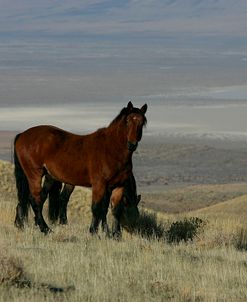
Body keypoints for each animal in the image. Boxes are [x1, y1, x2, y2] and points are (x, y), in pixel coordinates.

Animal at [14, 102, 147, 237]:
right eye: (127, 121)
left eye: (142, 123)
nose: (132, 144)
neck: (111, 150)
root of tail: (22, 135)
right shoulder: (99, 185)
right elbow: (97, 208)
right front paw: (94, 232)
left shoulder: (119, 186)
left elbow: (115, 210)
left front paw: (115, 235)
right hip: (34, 174)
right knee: (34, 200)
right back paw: (45, 229)